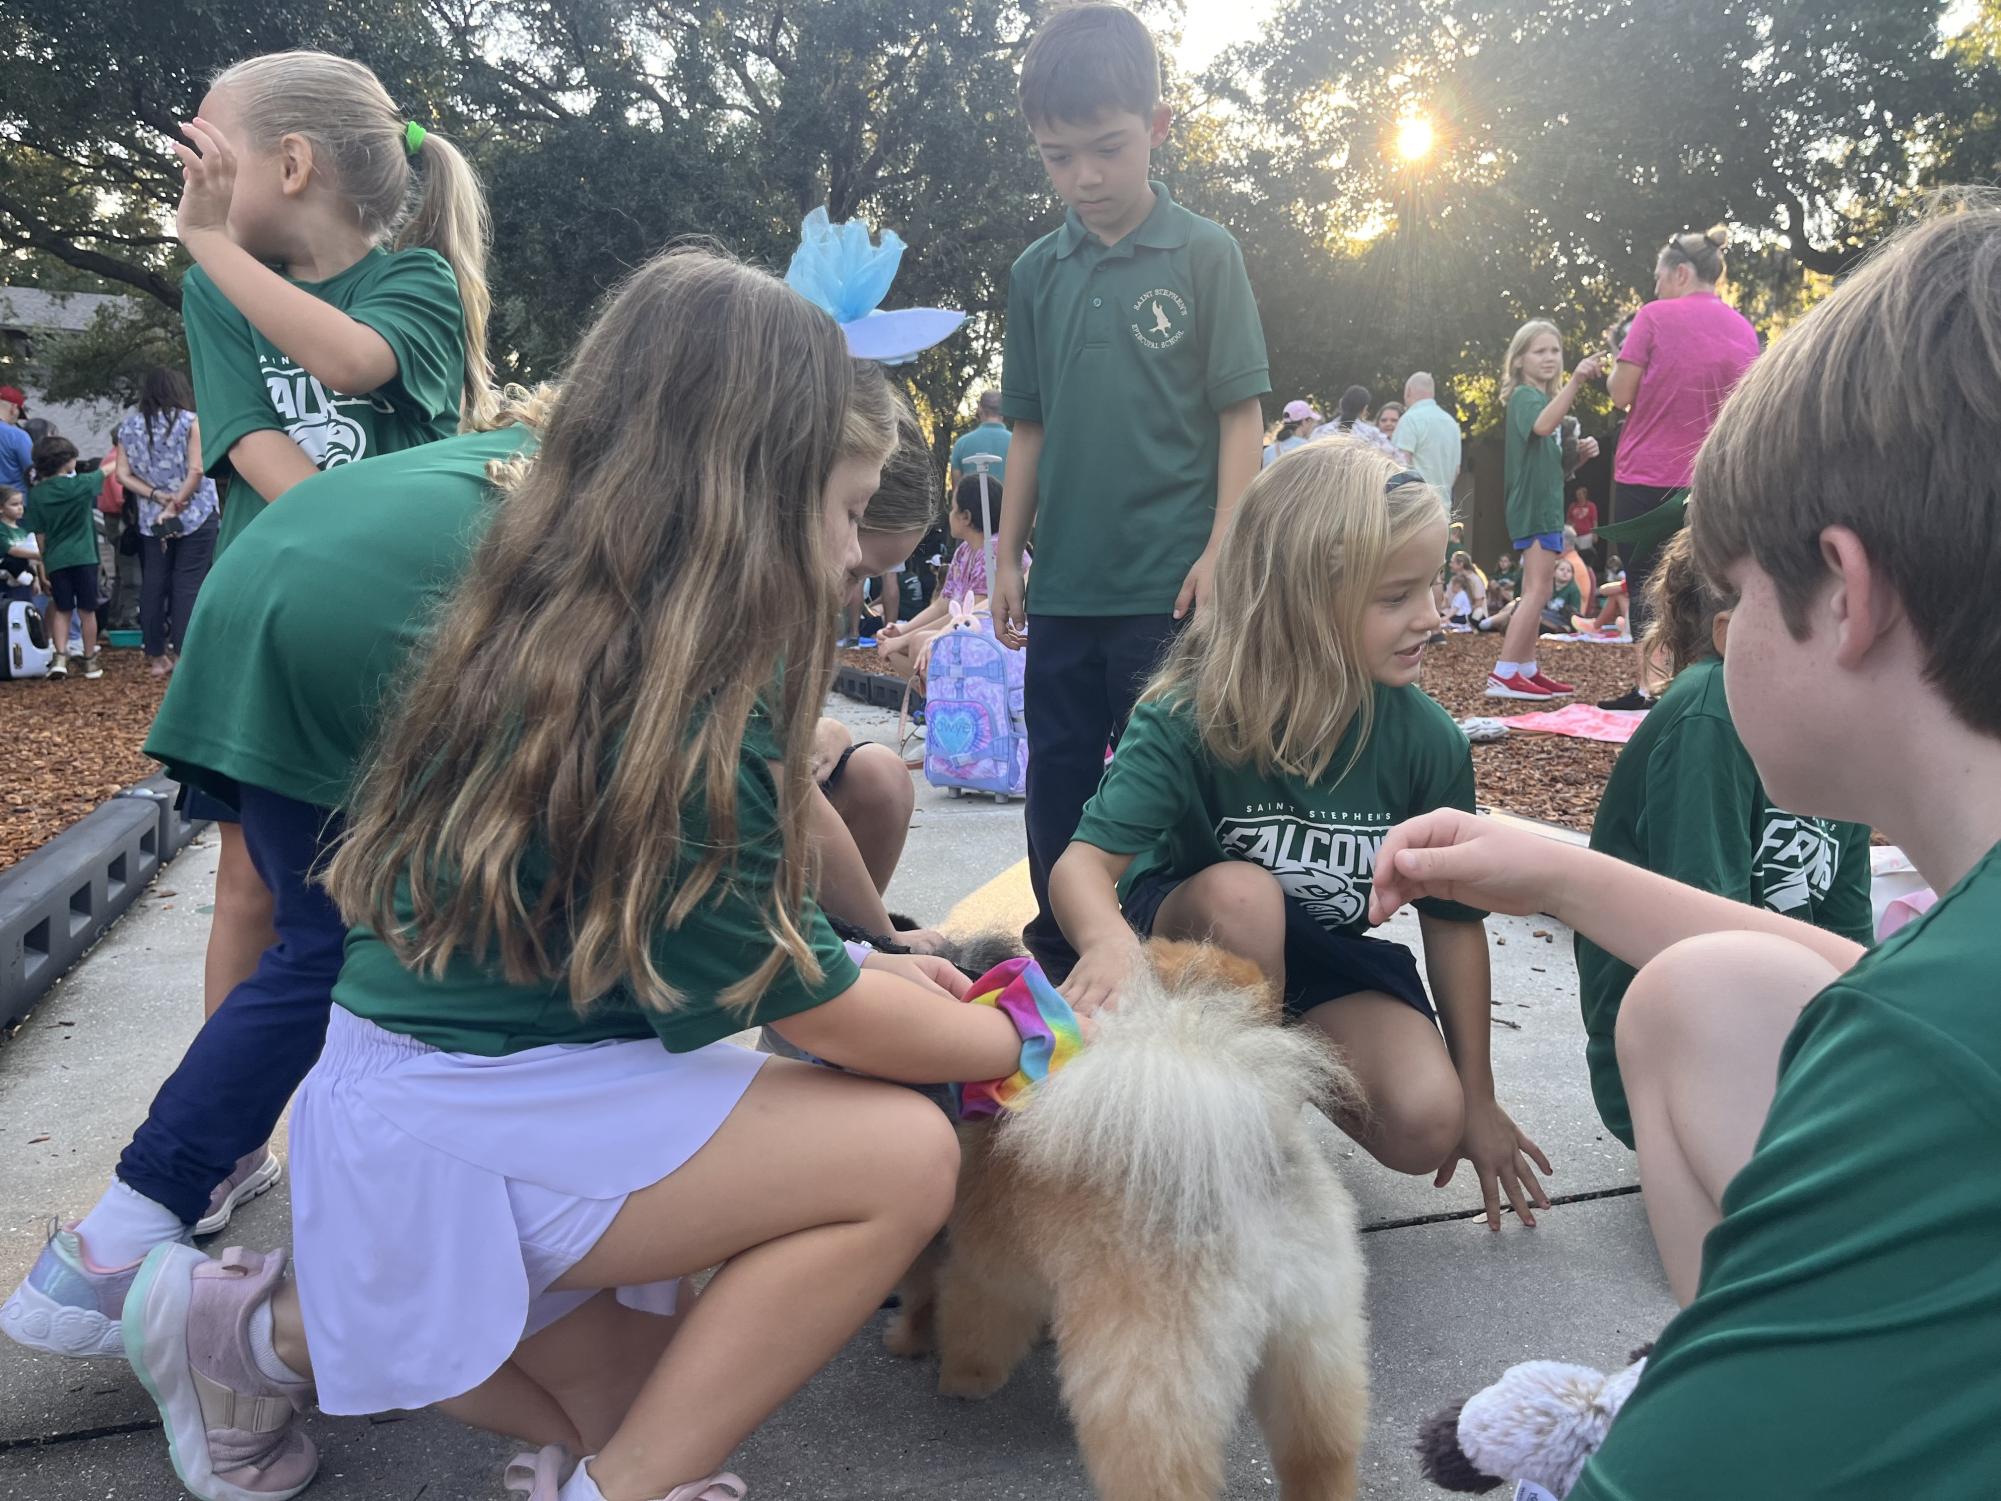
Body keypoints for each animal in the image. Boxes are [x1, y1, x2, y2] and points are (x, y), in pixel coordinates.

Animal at [892, 944, 1376, 1496]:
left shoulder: (987, 1269)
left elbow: (969, 1324)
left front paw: (961, 1379)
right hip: (1315, 1341)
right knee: (1320, 1452)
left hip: (1149, 1378)